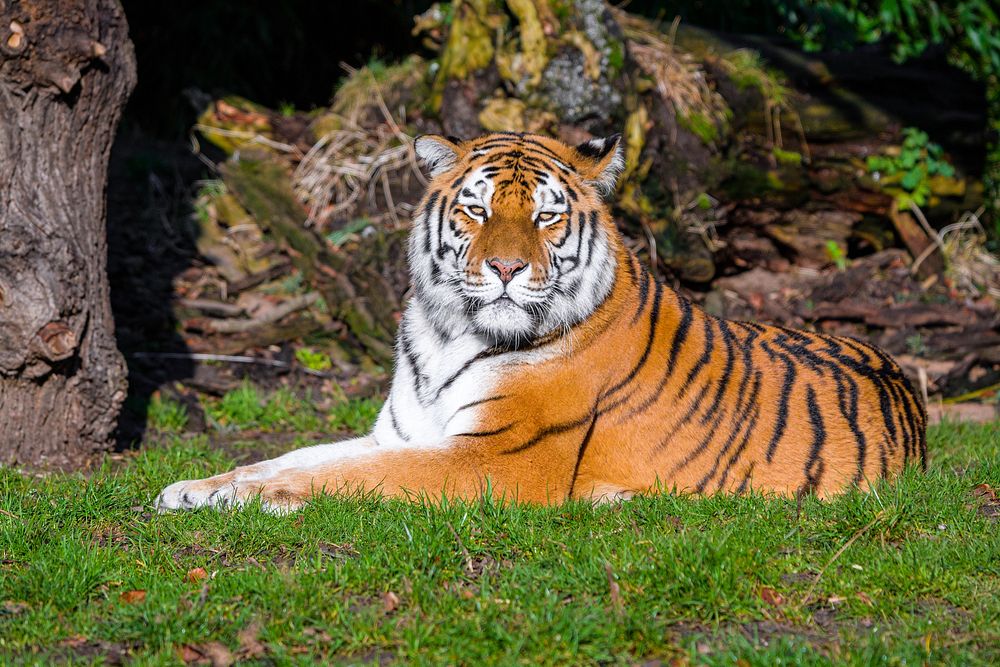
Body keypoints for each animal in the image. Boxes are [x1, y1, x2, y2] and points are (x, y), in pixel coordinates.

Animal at [152, 130, 924, 516]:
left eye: (547, 216)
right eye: (478, 209)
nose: (504, 268)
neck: (446, 332)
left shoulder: (496, 460)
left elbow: (350, 477)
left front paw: (254, 497)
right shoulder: (400, 433)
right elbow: (300, 455)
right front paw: (197, 487)